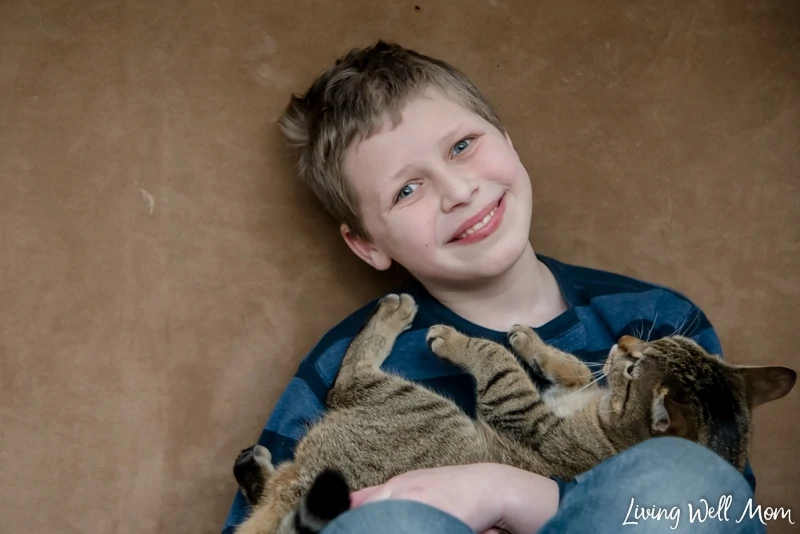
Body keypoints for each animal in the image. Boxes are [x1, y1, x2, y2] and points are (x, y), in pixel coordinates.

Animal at [231, 296, 792, 534]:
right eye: (662, 341)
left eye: (639, 366)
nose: (624, 339)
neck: (604, 421)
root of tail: (300, 485)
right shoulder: (564, 394)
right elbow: (571, 368)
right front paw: (533, 342)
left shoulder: (524, 412)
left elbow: (496, 359)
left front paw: (461, 340)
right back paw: (252, 465)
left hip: (423, 407)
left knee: (347, 380)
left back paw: (393, 311)